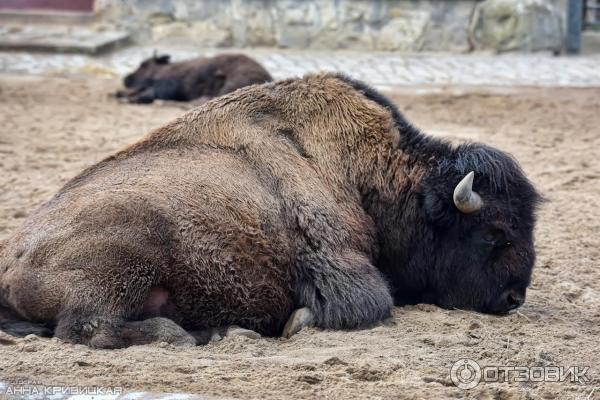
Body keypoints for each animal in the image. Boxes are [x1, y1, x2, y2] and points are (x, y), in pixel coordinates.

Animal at [0, 73, 540, 348]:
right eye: (495, 233)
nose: (514, 298)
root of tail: (11, 260)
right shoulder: (337, 264)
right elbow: (369, 303)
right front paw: (297, 322)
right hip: (127, 256)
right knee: (91, 328)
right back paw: (185, 334)